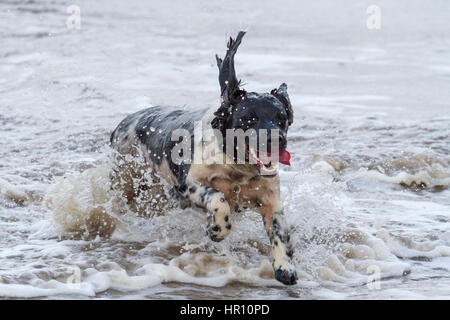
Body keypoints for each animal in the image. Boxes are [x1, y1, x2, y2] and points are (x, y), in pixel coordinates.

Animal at [110, 30, 298, 284]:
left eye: (282, 118)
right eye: (248, 119)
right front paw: (216, 230)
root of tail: (125, 122)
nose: (276, 139)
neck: (235, 167)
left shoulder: (270, 198)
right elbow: (218, 199)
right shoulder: (187, 185)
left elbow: (279, 231)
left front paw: (284, 266)